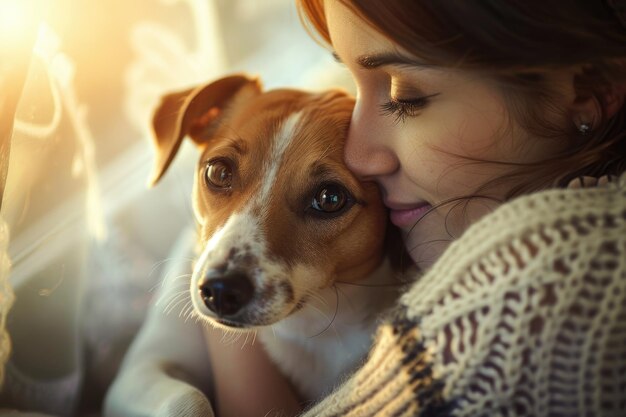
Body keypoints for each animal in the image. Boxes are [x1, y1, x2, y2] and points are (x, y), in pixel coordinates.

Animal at [106, 73, 404, 414]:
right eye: (219, 172)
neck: (310, 325)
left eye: (330, 198)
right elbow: (190, 399)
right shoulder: (140, 370)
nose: (221, 291)